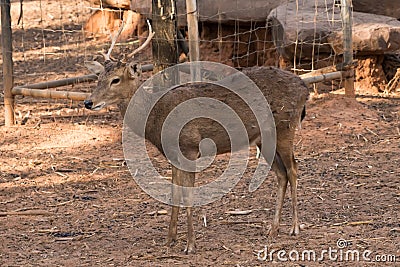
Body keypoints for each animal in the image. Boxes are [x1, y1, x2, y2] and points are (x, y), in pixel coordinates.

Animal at [83, 21, 310, 255]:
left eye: (115, 80)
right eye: (98, 79)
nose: (88, 102)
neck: (157, 117)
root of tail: (305, 89)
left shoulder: (190, 147)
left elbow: (188, 195)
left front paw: (190, 244)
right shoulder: (173, 154)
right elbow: (174, 193)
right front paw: (170, 239)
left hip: (285, 127)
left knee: (293, 169)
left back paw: (294, 227)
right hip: (263, 139)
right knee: (281, 174)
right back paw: (273, 229)